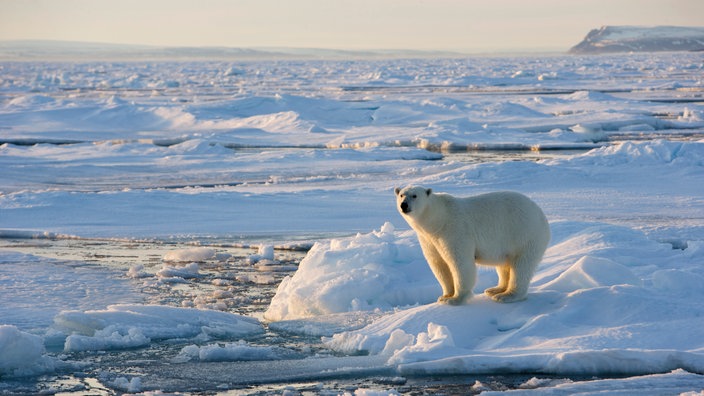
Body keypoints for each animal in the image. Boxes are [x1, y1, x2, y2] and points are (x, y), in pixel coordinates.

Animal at [396, 186, 552, 304]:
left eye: (414, 195)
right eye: (402, 194)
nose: (404, 205)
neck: (438, 220)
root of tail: (542, 215)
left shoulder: (455, 231)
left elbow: (460, 263)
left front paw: (455, 299)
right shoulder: (429, 239)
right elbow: (438, 263)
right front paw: (445, 295)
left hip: (524, 235)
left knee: (521, 266)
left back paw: (506, 296)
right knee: (504, 265)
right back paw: (495, 289)